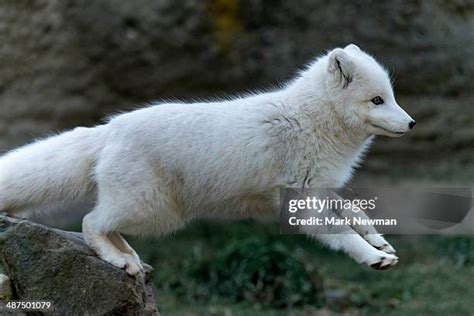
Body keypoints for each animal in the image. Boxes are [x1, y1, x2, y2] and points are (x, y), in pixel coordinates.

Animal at [0, 43, 414, 274]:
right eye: (377, 100)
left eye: (390, 96)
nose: (411, 123)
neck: (310, 121)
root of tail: (111, 127)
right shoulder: (301, 202)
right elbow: (341, 233)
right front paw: (372, 257)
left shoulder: (320, 190)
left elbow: (355, 212)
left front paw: (379, 241)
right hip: (152, 209)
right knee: (91, 222)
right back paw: (118, 261)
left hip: (149, 212)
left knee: (104, 224)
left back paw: (130, 259)